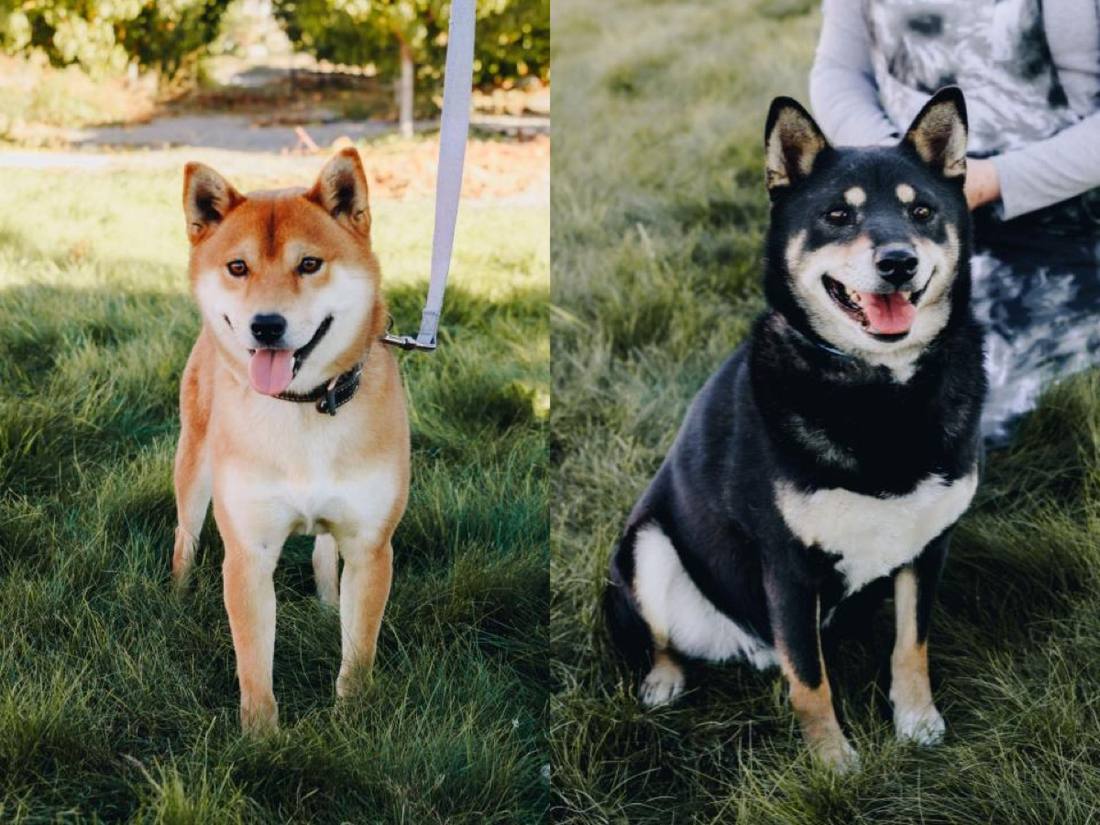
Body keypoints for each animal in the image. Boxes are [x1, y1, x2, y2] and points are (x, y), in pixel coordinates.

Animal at [171, 148, 410, 733]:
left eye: (309, 265)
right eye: (238, 267)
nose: (266, 325)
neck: (302, 407)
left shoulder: (370, 546)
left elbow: (358, 653)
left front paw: (351, 721)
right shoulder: (249, 552)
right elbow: (255, 663)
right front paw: (261, 739)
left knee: (324, 553)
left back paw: (326, 603)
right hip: (194, 467)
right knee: (184, 535)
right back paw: (176, 598)